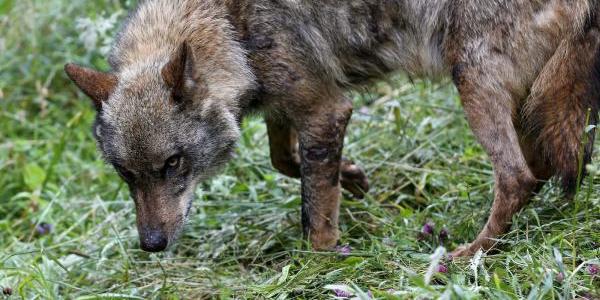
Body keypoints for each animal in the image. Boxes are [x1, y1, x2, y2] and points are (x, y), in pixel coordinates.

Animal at [64, 0, 600, 255]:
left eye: (173, 164)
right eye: (126, 175)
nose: (151, 245)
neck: (229, 26)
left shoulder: (325, 109)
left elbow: (313, 213)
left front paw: (321, 261)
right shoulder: (287, 105)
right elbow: (286, 161)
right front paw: (354, 178)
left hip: (474, 86)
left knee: (518, 177)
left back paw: (467, 255)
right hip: (530, 107)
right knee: (552, 166)